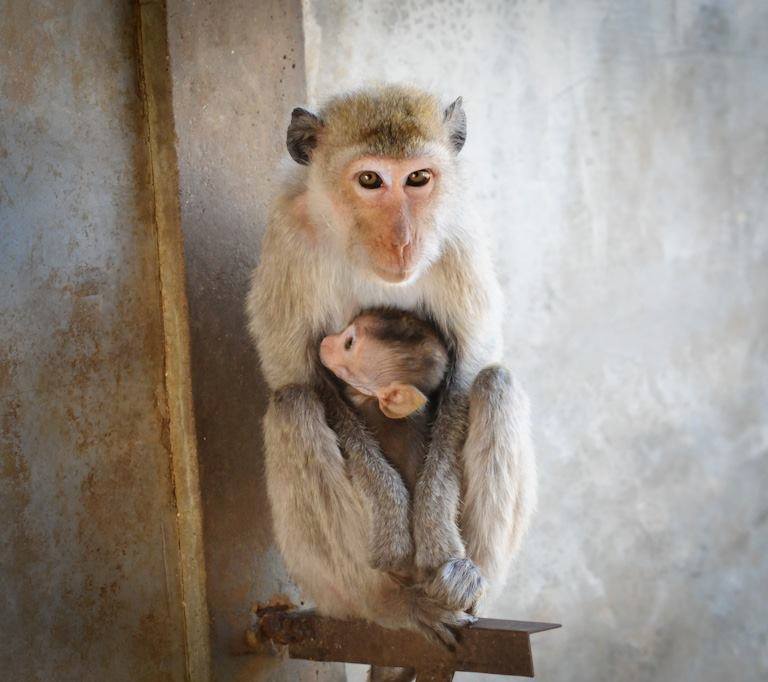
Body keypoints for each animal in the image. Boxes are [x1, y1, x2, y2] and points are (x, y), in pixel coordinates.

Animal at [247, 85, 537, 656]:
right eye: (370, 181)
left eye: (418, 178)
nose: (403, 239)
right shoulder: (288, 241)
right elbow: (302, 376)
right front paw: (391, 516)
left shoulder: (458, 238)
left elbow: (468, 373)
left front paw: (433, 526)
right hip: (330, 587)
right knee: (293, 405)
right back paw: (389, 605)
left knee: (496, 384)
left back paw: (468, 581)